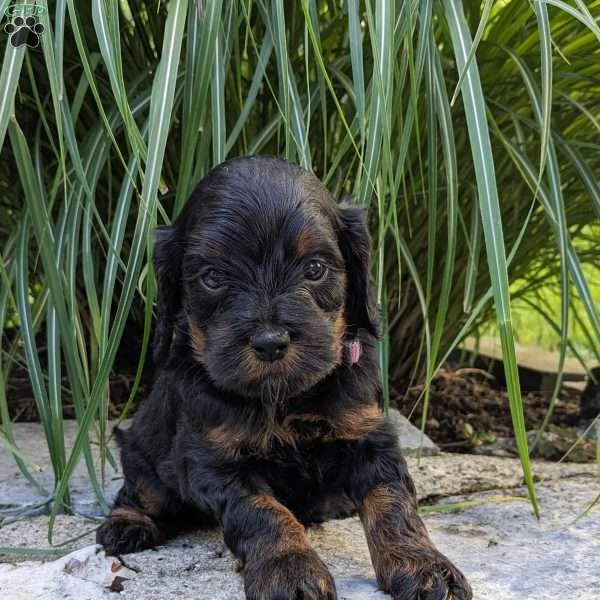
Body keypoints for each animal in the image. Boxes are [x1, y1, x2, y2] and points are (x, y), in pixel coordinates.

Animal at [97, 156, 474, 600]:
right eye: (212, 277)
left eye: (314, 268)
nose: (270, 342)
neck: (285, 397)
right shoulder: (215, 460)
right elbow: (263, 511)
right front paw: (289, 569)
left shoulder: (368, 435)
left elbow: (392, 500)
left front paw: (424, 565)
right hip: (141, 451)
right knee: (142, 491)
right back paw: (126, 524)